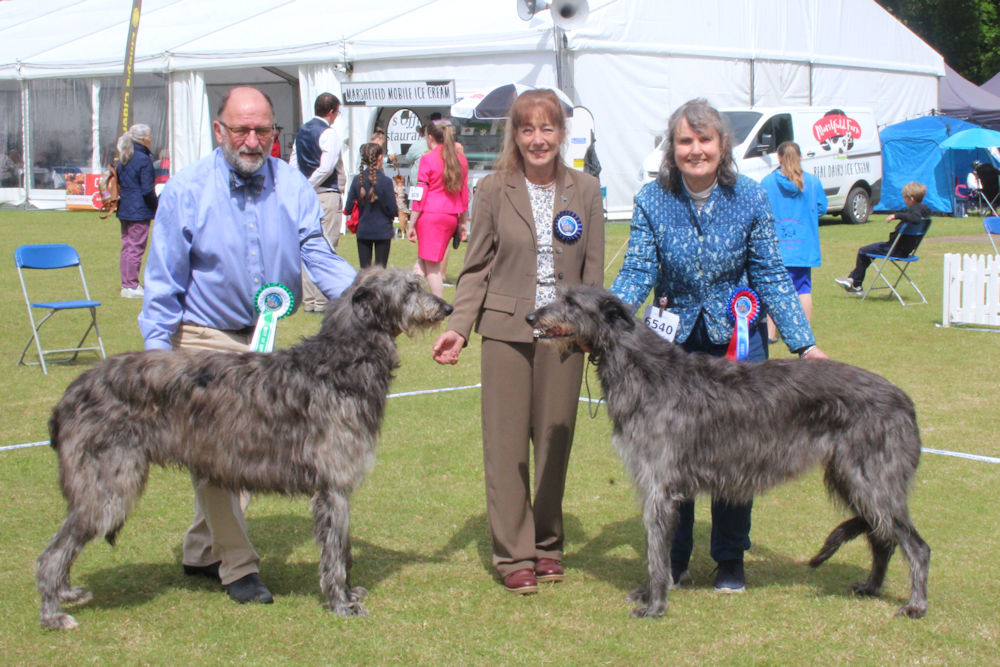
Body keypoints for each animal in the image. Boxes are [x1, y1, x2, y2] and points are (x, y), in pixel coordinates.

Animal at [35, 268, 450, 632]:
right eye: (410, 288)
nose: (445, 307)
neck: (339, 364)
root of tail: (70, 393)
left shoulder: (336, 487)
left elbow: (344, 547)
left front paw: (348, 593)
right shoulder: (333, 486)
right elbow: (335, 551)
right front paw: (340, 603)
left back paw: (66, 593)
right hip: (110, 484)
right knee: (51, 552)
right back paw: (53, 613)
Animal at [532, 284, 928, 620]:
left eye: (571, 302)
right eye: (561, 295)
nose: (531, 317)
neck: (644, 370)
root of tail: (905, 401)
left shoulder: (659, 484)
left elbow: (656, 551)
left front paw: (655, 604)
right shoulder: (654, 482)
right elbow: (655, 547)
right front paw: (649, 593)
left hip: (872, 479)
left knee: (914, 545)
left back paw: (915, 605)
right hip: (852, 477)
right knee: (882, 537)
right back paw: (872, 586)